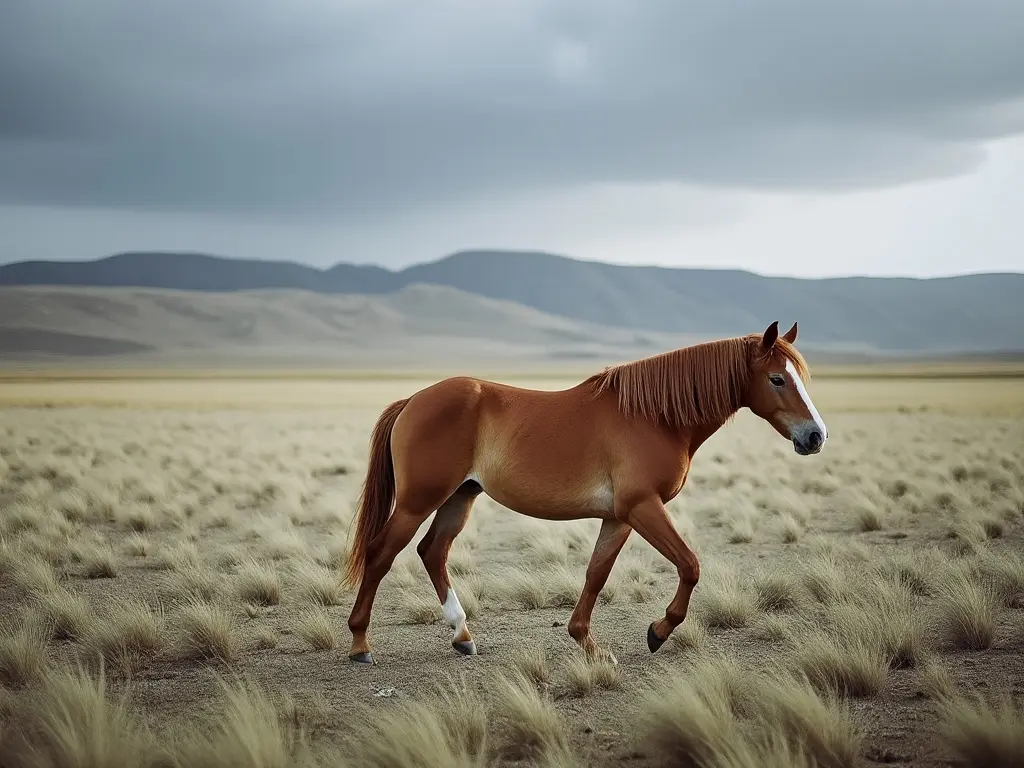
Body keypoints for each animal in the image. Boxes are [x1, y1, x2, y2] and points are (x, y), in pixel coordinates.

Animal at [339, 321, 827, 663]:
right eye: (778, 379)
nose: (816, 436)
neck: (654, 417)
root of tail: (413, 400)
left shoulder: (618, 517)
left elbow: (597, 573)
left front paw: (587, 644)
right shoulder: (642, 508)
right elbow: (690, 566)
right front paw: (658, 631)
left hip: (460, 497)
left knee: (432, 552)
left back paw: (463, 636)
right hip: (419, 500)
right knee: (381, 554)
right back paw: (361, 644)